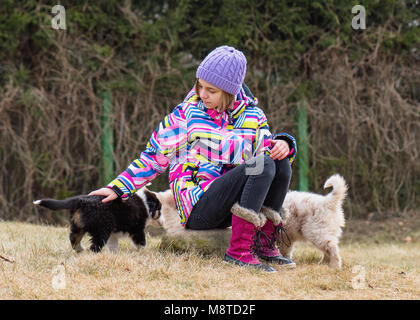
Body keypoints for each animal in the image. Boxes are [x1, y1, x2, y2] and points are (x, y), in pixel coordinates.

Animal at [32, 188, 161, 252]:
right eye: (159, 208)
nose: (160, 214)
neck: (144, 202)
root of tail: (81, 200)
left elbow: (113, 244)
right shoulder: (137, 228)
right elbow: (141, 240)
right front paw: (143, 250)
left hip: (78, 224)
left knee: (73, 238)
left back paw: (80, 250)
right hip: (102, 228)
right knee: (95, 245)